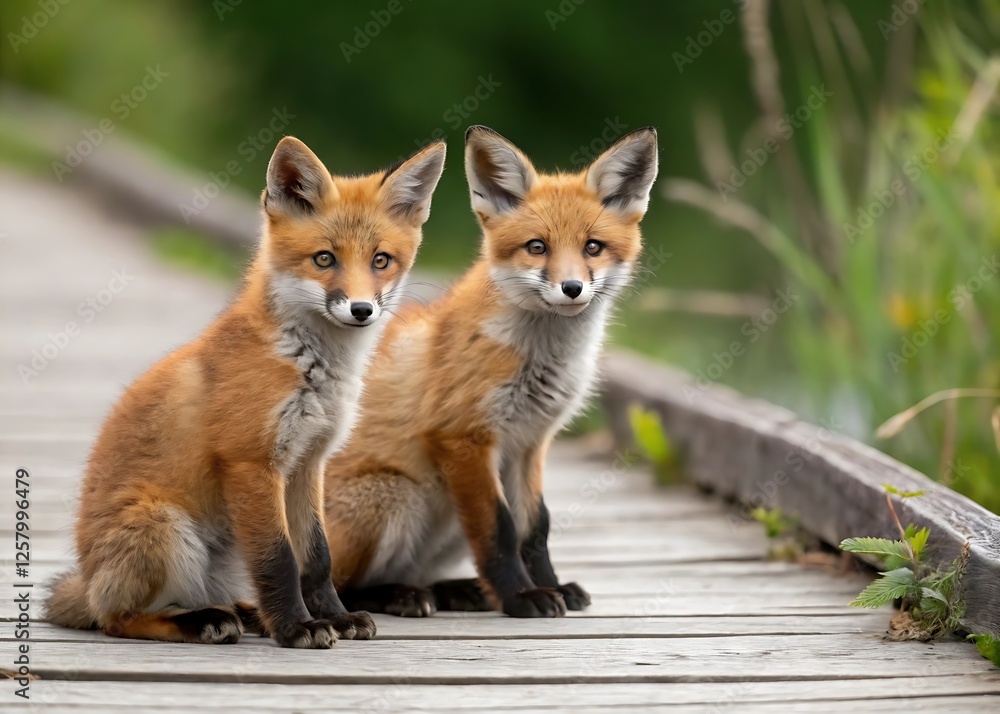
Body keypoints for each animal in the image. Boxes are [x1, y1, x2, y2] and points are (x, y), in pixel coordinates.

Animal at [44, 136, 447, 646]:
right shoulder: (252, 463)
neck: (312, 368)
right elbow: (279, 560)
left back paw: (246, 613)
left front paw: (333, 617)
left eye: (381, 260)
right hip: (165, 528)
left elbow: (317, 558)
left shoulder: (308, 462)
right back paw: (202, 621)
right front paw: (297, 627)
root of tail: (88, 580)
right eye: (324, 258)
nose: (361, 310)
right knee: (119, 618)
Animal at [323, 125, 658, 618]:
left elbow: (535, 528)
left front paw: (552, 587)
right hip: (395, 497)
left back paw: (457, 590)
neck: (540, 358)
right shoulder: (465, 438)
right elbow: (499, 531)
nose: (572, 288)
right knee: (339, 585)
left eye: (592, 247)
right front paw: (522, 596)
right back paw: (397, 596)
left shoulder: (529, 443)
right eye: (537, 247)